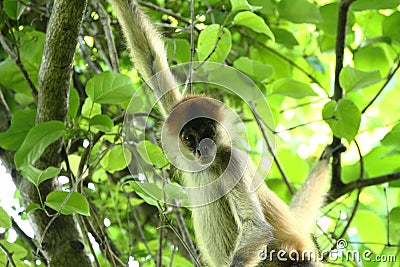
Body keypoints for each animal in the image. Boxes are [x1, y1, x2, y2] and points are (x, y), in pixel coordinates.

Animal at [108, 1, 336, 266]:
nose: (202, 149)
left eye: (208, 131)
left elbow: (256, 227)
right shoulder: (177, 110)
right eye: (189, 138)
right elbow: (150, 57)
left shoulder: (230, 159)